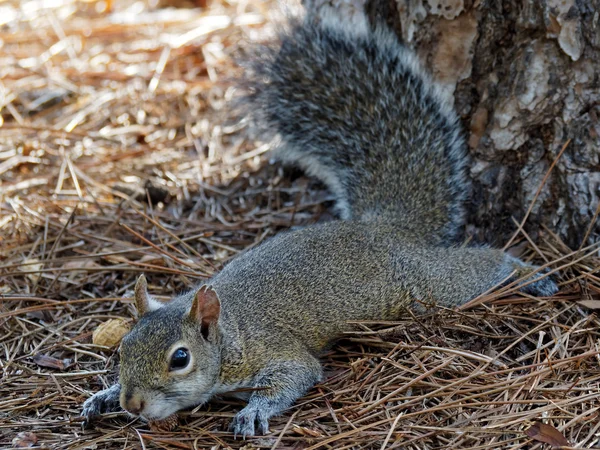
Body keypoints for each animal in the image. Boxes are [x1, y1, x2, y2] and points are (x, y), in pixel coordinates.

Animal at [79, 7, 556, 440]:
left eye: (180, 359)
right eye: (123, 347)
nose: (133, 402)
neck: (230, 333)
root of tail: (383, 227)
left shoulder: (275, 352)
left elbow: (296, 375)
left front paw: (254, 412)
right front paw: (103, 395)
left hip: (426, 286)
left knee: (482, 264)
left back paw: (532, 275)